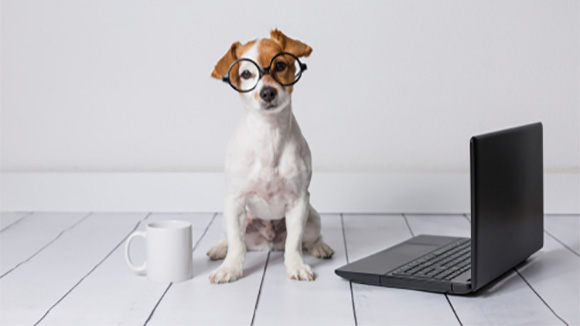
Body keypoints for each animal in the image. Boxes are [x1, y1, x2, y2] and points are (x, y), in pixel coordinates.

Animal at [207, 31, 336, 286]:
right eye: (246, 74)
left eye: (280, 65)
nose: (268, 92)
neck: (268, 134)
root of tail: (267, 243)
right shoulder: (234, 202)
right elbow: (237, 245)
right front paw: (230, 268)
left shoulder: (299, 202)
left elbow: (294, 243)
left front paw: (296, 265)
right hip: (230, 216)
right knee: (229, 238)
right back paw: (219, 248)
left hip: (312, 217)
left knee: (310, 238)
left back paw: (320, 247)